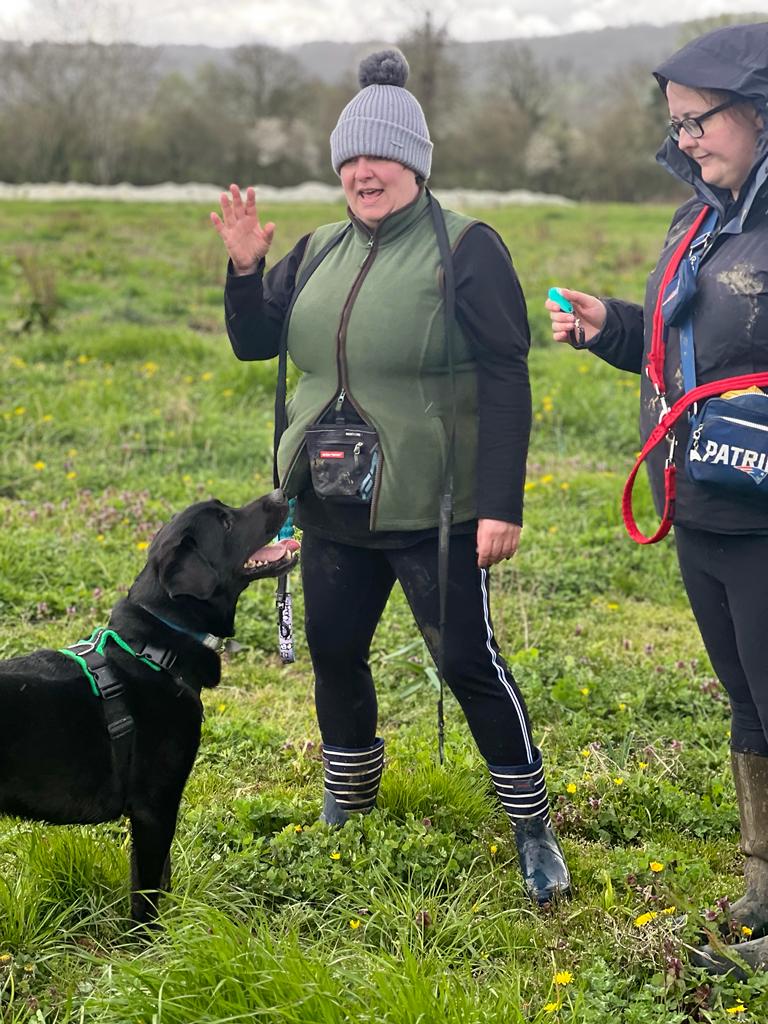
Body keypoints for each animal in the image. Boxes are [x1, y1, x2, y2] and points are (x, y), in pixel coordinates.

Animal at [0, 487, 299, 921]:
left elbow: (160, 879)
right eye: (226, 522)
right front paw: (148, 939)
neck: (155, 650)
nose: (282, 493)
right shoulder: (154, 808)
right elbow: (146, 896)